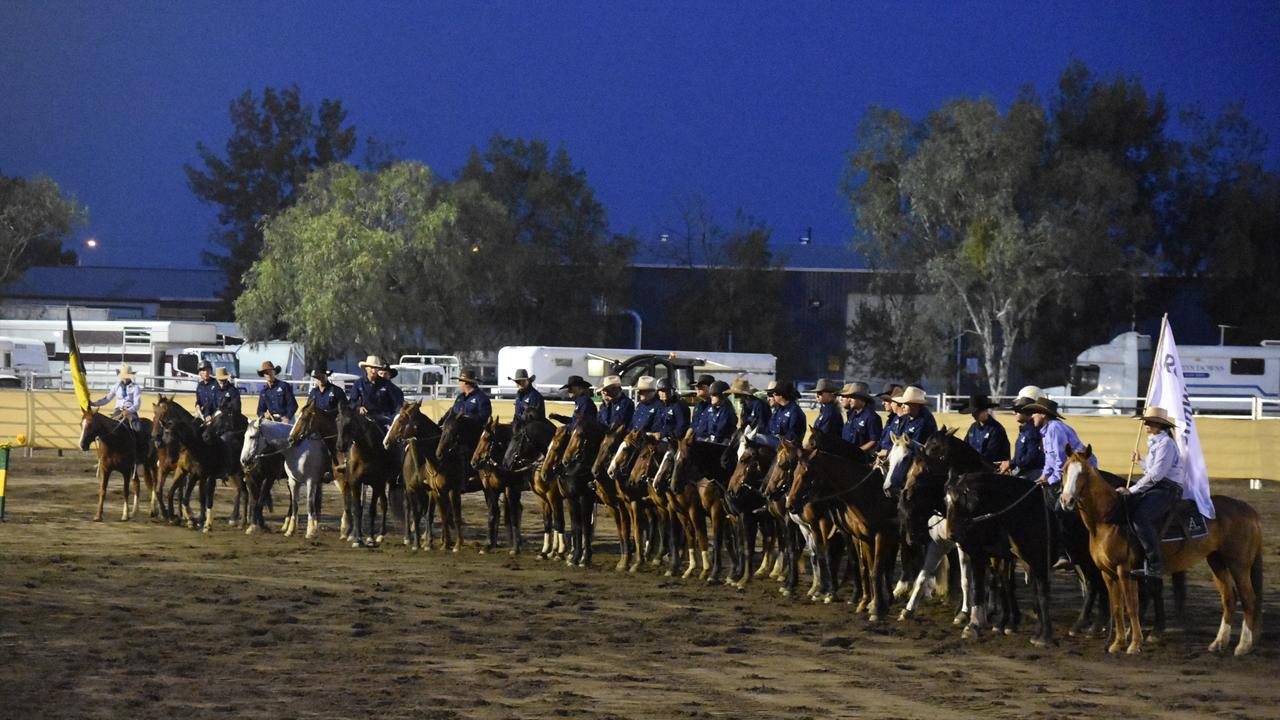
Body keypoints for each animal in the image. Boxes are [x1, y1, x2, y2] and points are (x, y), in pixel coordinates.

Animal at [471, 417, 524, 550]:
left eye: (486, 438)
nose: (473, 462)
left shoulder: (508, 488)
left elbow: (510, 515)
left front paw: (514, 545)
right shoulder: (489, 489)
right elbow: (492, 514)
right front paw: (488, 543)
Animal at [1059, 445, 1259, 653]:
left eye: (1084, 472)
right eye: (1064, 469)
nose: (1066, 500)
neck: (1108, 518)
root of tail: (1248, 510)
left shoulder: (1125, 570)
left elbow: (1131, 606)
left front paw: (1135, 644)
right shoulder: (1107, 573)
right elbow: (1117, 607)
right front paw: (1117, 643)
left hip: (1239, 564)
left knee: (1248, 599)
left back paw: (1243, 646)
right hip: (1217, 561)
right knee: (1229, 598)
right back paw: (1218, 642)